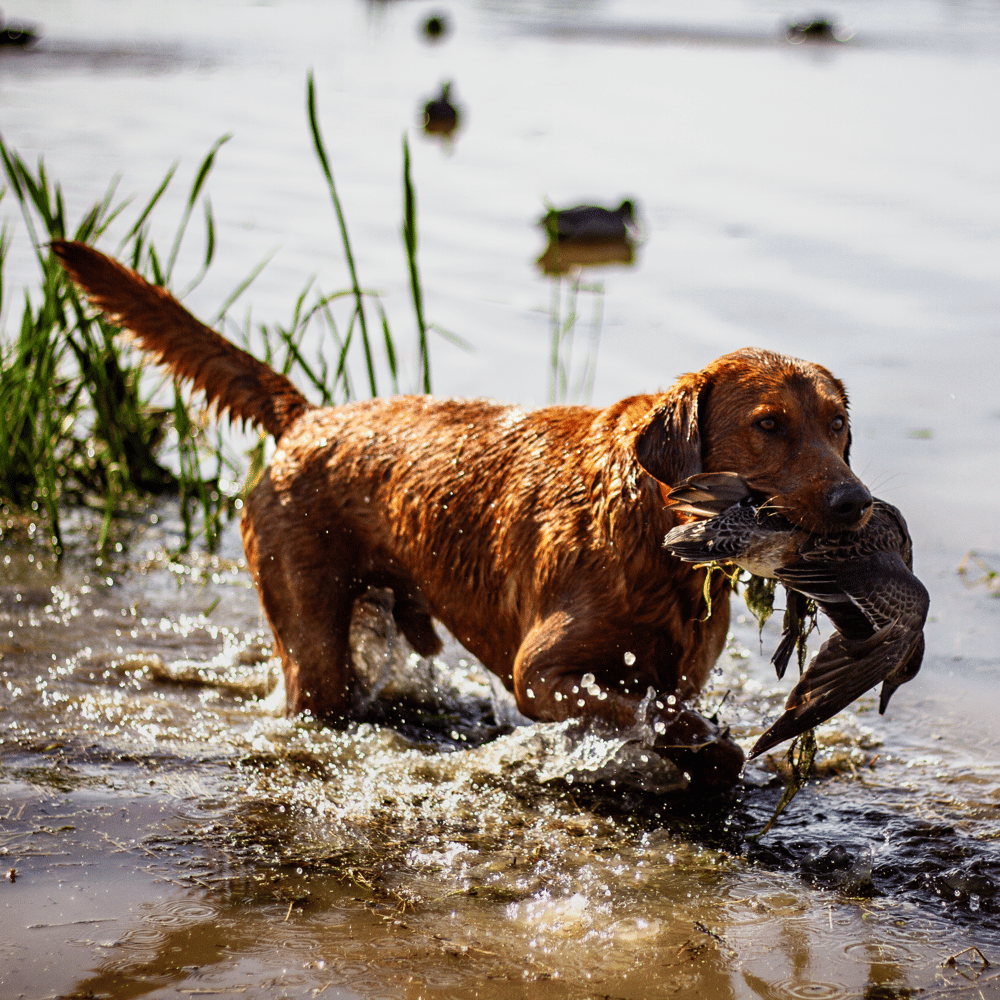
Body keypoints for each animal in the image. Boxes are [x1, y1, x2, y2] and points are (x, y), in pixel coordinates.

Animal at [52, 240, 876, 788]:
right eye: (769, 425)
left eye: (838, 424)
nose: (856, 503)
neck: (651, 532)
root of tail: (307, 418)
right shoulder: (538, 675)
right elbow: (633, 707)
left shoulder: (680, 671)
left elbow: (690, 721)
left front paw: (707, 752)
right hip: (311, 639)